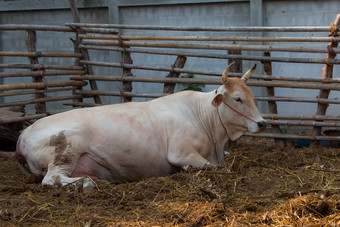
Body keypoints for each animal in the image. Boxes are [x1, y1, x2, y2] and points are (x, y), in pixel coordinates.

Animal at [15, 63, 266, 188]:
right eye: (237, 99)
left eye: (253, 97)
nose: (262, 124)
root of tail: (25, 132)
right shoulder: (181, 153)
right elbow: (216, 168)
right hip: (66, 149)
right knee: (52, 179)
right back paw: (86, 183)